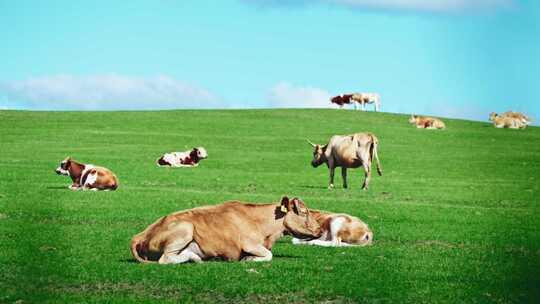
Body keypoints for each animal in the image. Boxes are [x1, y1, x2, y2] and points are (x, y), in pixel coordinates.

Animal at [131, 197, 322, 264]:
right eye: (304, 212)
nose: (320, 230)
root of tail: (140, 235)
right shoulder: (250, 244)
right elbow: (268, 255)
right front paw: (249, 259)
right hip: (186, 228)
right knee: (165, 259)